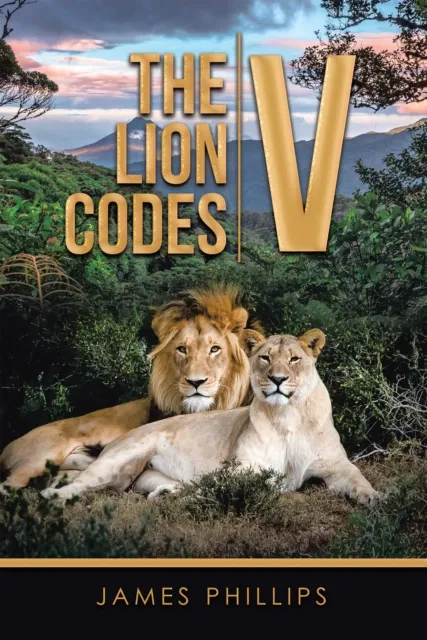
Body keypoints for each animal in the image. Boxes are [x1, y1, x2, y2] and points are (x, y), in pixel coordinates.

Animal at [40, 329, 379, 506]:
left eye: (294, 359)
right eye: (265, 357)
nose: (278, 379)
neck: (287, 417)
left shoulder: (336, 465)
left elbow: (358, 478)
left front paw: (376, 498)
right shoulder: (242, 469)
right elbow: (242, 483)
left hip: (141, 475)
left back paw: (168, 493)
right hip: (120, 455)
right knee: (84, 481)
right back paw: (53, 495)